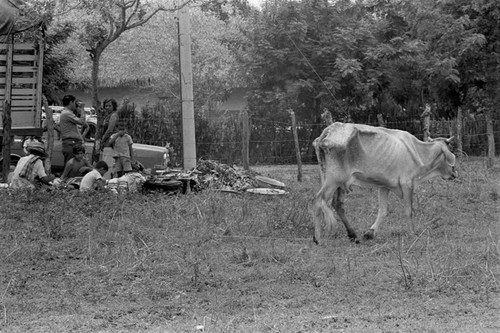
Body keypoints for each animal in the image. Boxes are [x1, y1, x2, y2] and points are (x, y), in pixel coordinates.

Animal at [312, 122, 458, 244]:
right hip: (333, 179)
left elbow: (383, 211)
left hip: (337, 181)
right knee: (319, 200)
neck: (420, 152)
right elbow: (408, 211)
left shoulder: (384, 185)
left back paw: (353, 235)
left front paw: (369, 233)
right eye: (451, 150)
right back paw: (317, 238)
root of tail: (329, 130)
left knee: (337, 204)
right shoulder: (407, 183)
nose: (455, 173)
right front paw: (412, 234)